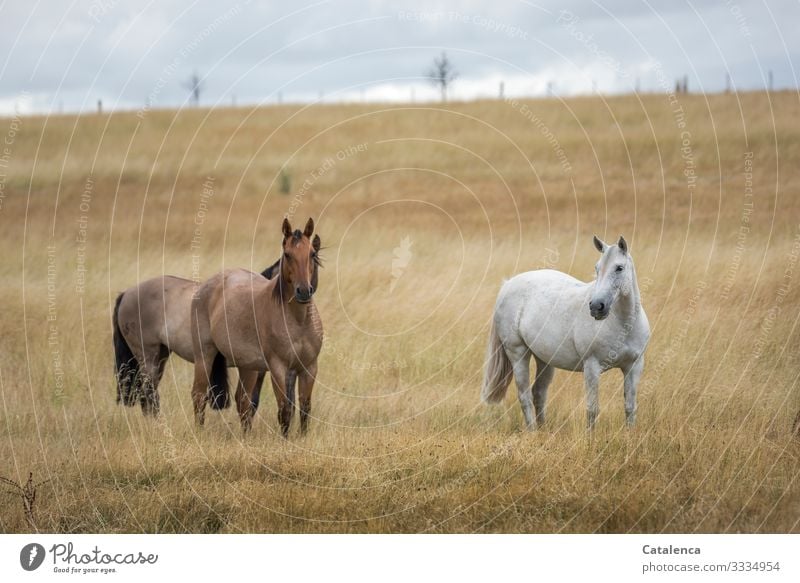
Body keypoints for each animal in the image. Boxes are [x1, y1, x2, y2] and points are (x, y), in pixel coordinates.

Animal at [191, 217, 322, 436]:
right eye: (287, 254)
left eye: (312, 253)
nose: (303, 291)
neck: (298, 322)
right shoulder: (278, 368)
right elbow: (285, 410)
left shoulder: (308, 367)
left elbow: (305, 408)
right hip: (205, 355)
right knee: (199, 395)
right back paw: (199, 433)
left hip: (248, 366)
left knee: (242, 401)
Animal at [482, 235, 648, 432]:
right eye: (597, 268)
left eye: (619, 268)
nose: (596, 307)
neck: (623, 324)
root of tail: (507, 285)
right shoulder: (592, 367)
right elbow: (592, 409)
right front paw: (590, 438)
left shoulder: (633, 366)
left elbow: (630, 406)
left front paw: (630, 435)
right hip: (518, 354)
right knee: (524, 396)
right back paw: (532, 432)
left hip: (545, 360)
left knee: (539, 393)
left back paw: (543, 430)